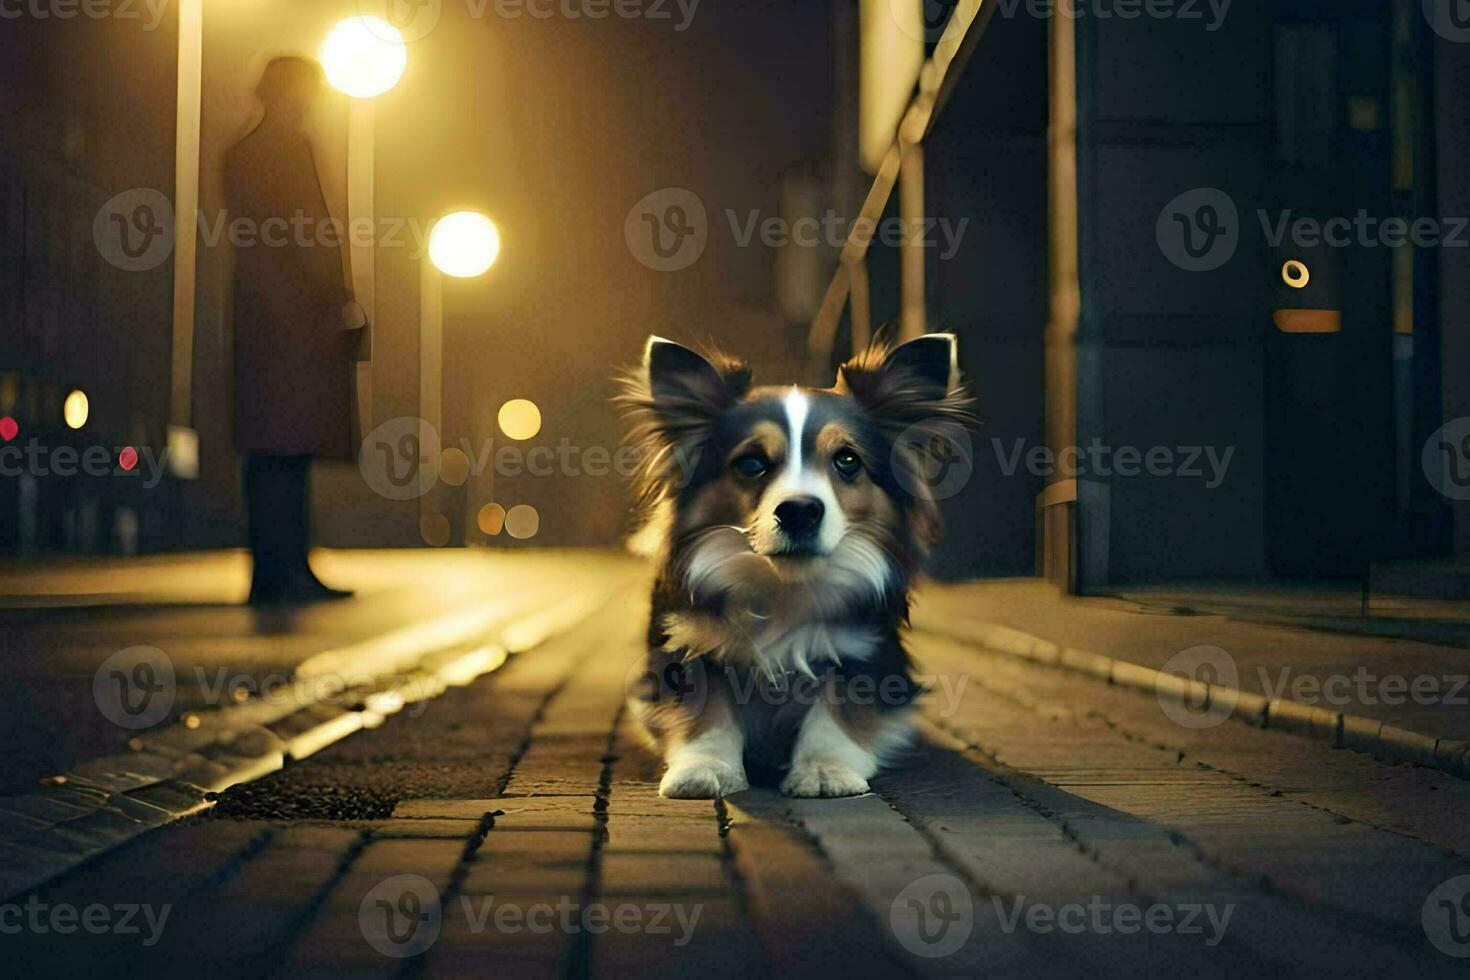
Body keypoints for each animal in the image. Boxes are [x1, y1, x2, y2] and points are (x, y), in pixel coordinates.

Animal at [620, 332, 976, 799]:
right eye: (751, 463)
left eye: (847, 460)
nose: (799, 511)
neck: (785, 584)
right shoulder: (689, 644)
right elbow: (705, 707)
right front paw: (706, 768)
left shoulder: (863, 652)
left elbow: (838, 711)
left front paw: (826, 771)